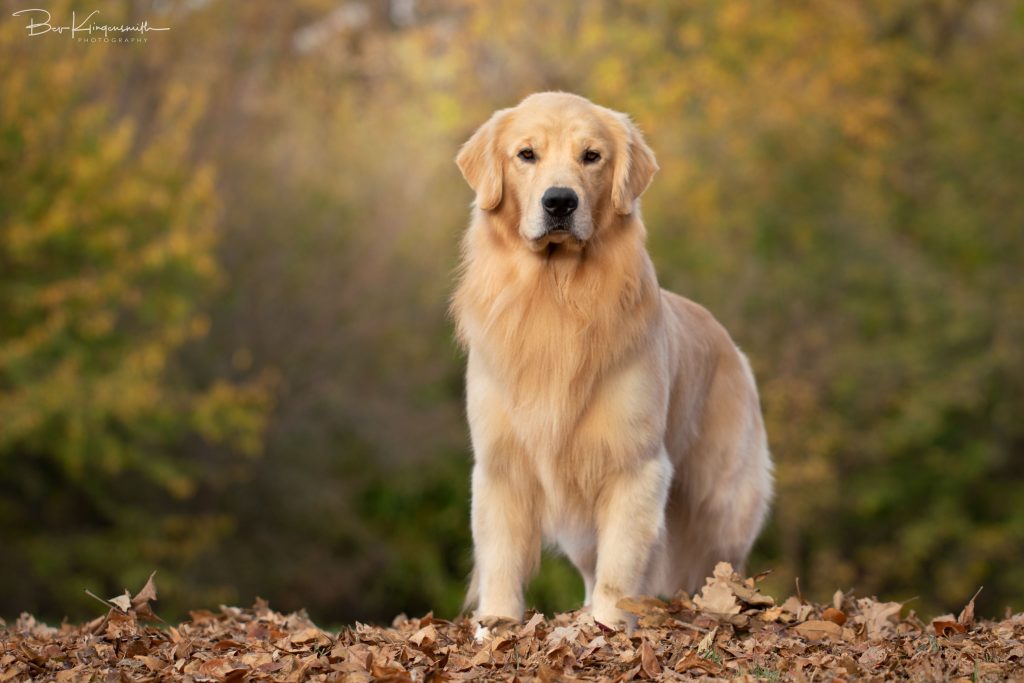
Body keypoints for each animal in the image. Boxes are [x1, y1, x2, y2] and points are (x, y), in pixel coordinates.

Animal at [452, 90, 770, 630]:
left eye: (591, 156)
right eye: (526, 154)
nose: (560, 201)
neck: (556, 298)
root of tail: (732, 345)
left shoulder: (634, 464)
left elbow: (620, 566)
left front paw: (608, 626)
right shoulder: (501, 463)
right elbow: (501, 558)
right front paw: (496, 625)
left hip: (723, 501)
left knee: (722, 559)